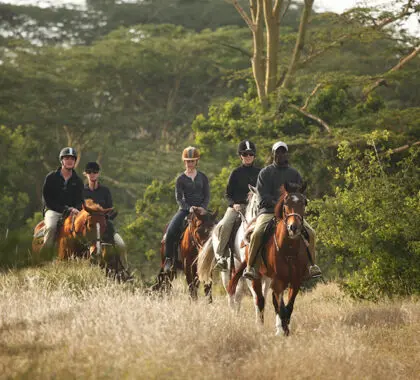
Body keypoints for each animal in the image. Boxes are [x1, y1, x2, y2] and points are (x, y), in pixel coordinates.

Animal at [197, 186, 272, 314]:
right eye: (258, 204)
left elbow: (263, 295)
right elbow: (255, 295)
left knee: (237, 295)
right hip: (227, 271)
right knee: (231, 294)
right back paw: (233, 312)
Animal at [228, 183, 310, 336]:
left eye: (304, 202)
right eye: (286, 204)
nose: (293, 227)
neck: (289, 249)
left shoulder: (295, 281)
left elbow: (288, 307)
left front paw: (284, 328)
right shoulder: (278, 281)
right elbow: (280, 306)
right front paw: (283, 330)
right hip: (255, 277)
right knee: (259, 300)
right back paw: (259, 327)